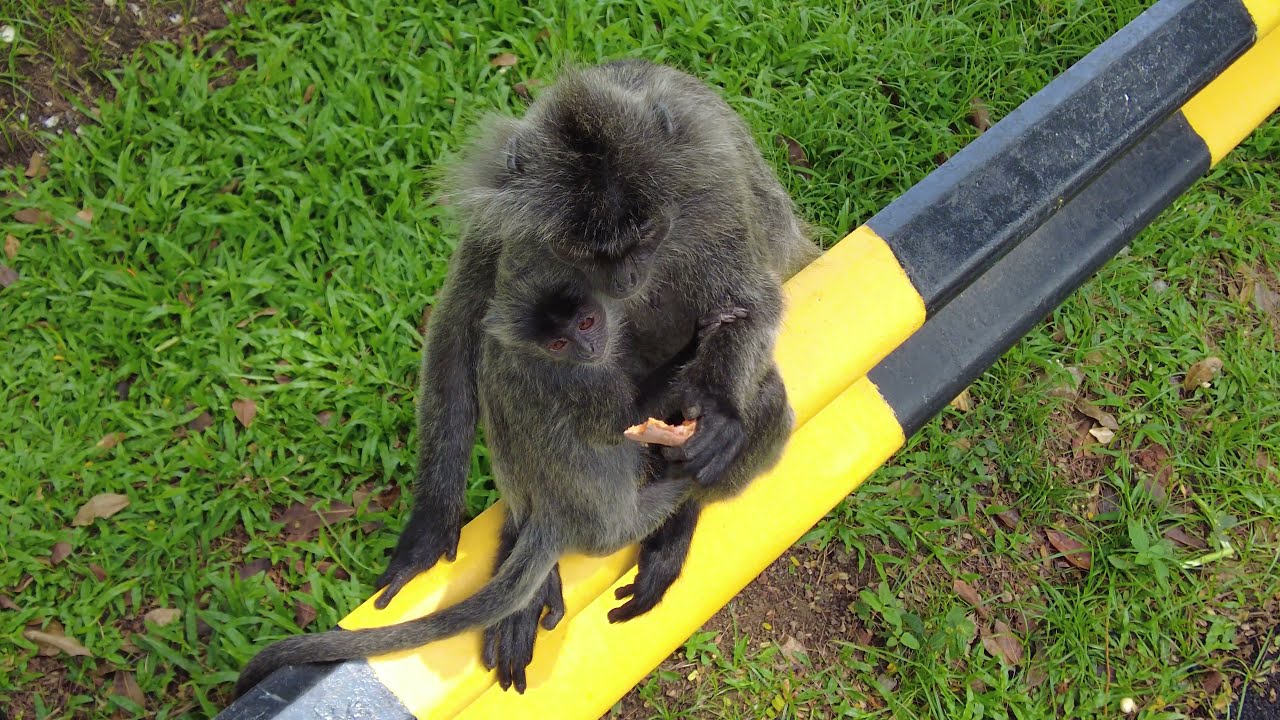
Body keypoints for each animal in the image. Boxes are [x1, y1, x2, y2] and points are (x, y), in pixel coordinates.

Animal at [234, 250, 694, 698]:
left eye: (586, 322)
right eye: (561, 341)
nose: (588, 346)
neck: (548, 359)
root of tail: (552, 518)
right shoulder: (585, 383)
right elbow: (619, 422)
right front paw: (691, 354)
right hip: (615, 525)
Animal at [374, 57, 820, 665]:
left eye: (647, 235)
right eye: (588, 254)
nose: (626, 277)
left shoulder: (713, 187)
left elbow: (751, 302)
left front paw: (719, 411)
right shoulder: (504, 221)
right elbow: (458, 328)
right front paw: (430, 523)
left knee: (765, 402)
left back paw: (674, 519)